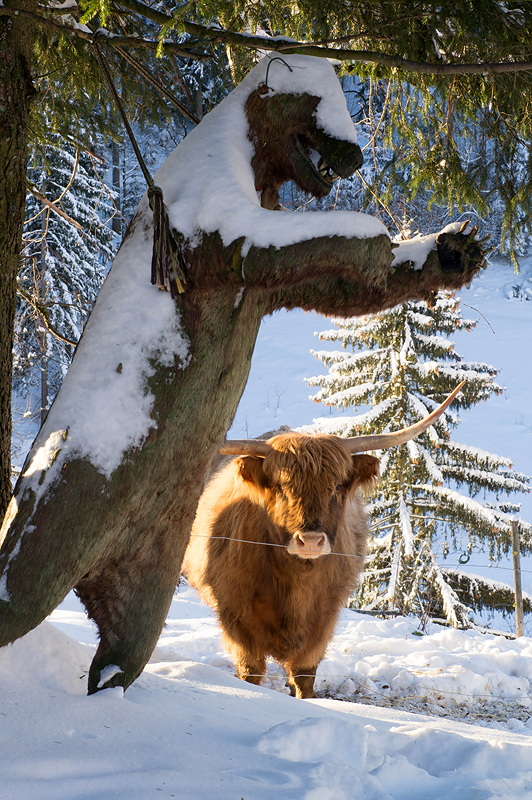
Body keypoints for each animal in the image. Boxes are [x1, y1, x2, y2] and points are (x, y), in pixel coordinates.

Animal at [182, 384, 462, 696]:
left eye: (337, 486)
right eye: (280, 486)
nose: (311, 541)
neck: (294, 583)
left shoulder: (324, 615)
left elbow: (304, 675)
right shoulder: (234, 613)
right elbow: (250, 671)